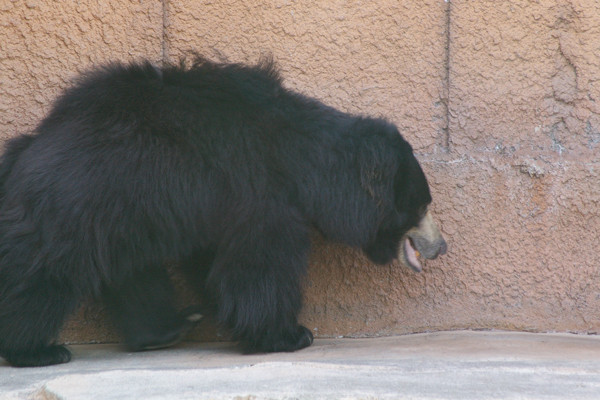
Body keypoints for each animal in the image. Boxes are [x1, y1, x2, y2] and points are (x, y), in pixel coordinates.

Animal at [0, 57, 446, 368]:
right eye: (421, 206)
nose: (440, 246)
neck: (304, 159)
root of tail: (26, 149)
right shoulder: (257, 189)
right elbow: (259, 264)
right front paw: (289, 334)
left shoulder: (209, 206)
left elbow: (211, 261)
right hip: (77, 202)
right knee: (42, 272)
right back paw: (36, 349)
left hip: (123, 212)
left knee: (132, 272)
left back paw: (167, 329)